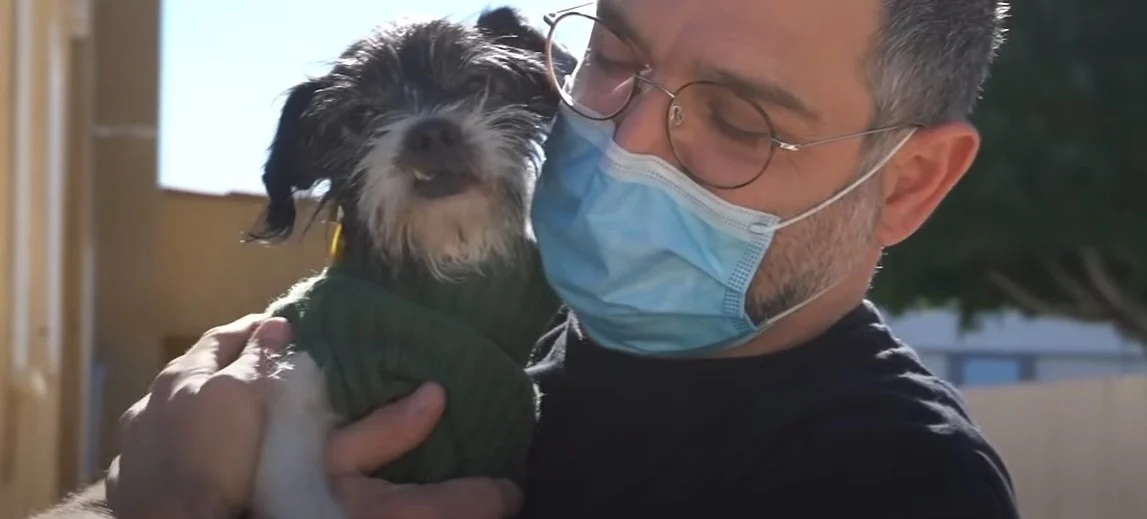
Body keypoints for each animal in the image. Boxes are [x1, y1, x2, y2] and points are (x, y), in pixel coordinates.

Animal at [247, 7, 578, 519]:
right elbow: (294, 460)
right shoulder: (312, 346)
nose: (431, 131)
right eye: (360, 116)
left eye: (478, 82)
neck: (443, 261)